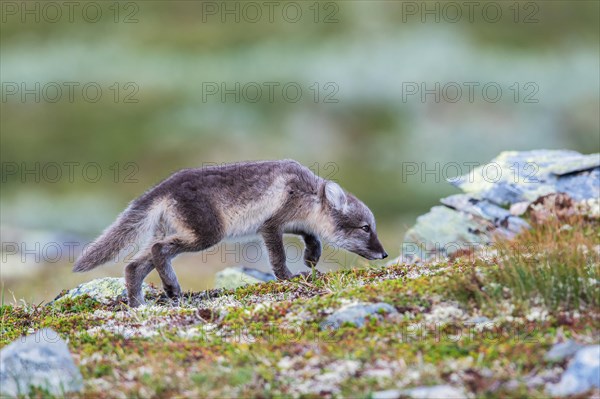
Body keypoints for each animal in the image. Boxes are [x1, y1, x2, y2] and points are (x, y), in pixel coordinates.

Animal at [72, 159, 390, 306]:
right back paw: (172, 288)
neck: (310, 193)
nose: (384, 253)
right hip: (206, 234)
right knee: (158, 250)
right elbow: (278, 257)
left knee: (133, 266)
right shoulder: (270, 225)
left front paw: (312, 257)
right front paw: (288, 278)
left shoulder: (295, 223)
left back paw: (138, 304)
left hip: (171, 233)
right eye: (366, 228)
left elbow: (311, 236)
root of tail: (162, 188)